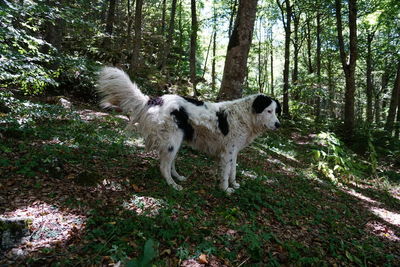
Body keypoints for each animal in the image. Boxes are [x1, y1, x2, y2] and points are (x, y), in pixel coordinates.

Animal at [97, 66, 282, 193]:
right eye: (269, 111)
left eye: (276, 111)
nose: (278, 124)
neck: (246, 116)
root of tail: (155, 99)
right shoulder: (228, 152)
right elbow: (226, 172)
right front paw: (225, 189)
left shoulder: (233, 151)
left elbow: (233, 170)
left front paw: (234, 184)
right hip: (172, 141)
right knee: (163, 166)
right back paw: (173, 185)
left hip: (175, 142)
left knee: (169, 163)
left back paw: (178, 177)